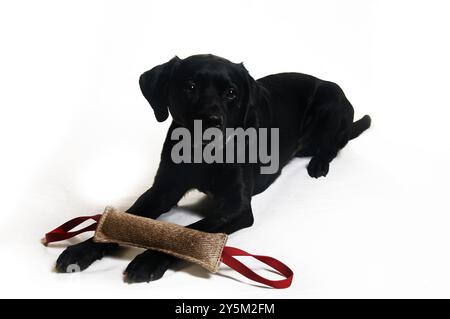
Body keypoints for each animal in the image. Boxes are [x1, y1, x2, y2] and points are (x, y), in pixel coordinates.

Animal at [56, 54, 370, 282]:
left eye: (231, 93)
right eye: (190, 87)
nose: (210, 121)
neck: (202, 156)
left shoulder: (236, 207)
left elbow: (194, 232)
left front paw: (149, 258)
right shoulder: (162, 190)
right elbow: (125, 218)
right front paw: (83, 250)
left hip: (330, 103)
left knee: (334, 144)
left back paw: (318, 164)